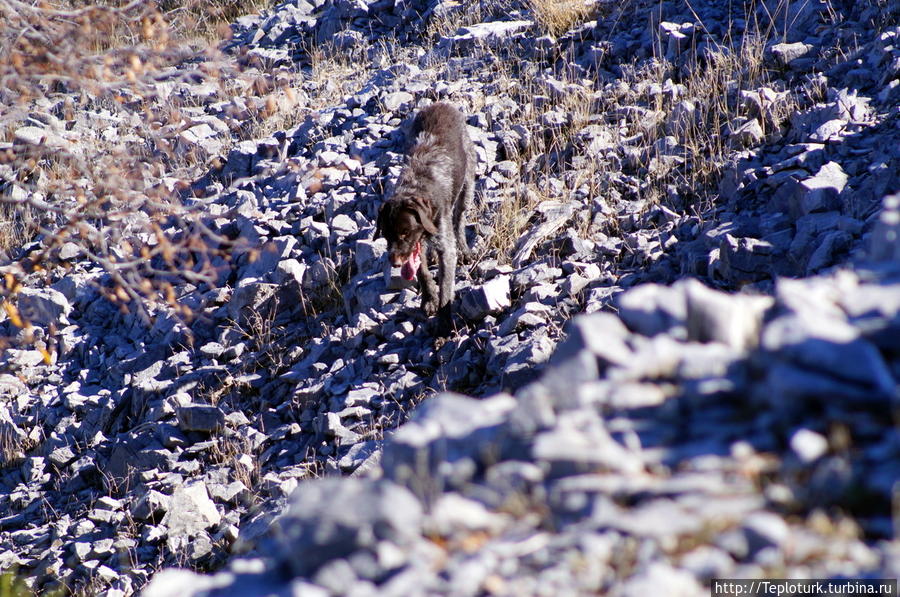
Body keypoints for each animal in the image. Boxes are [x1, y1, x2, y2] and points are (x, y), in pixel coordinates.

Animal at [372, 100, 474, 328]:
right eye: (386, 235)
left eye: (405, 232)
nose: (395, 263)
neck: (416, 186)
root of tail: (441, 103)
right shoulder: (415, 247)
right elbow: (423, 272)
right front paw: (429, 299)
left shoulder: (444, 247)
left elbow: (446, 288)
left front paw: (443, 323)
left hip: (467, 185)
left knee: (459, 220)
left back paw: (464, 248)